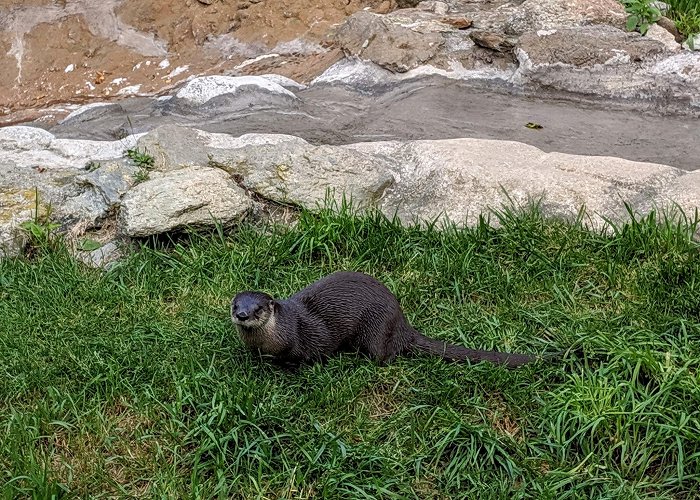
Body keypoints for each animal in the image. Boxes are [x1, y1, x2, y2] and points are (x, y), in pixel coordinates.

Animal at [230, 270, 548, 368]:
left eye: (258, 309)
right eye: (235, 305)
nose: (243, 315)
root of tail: (403, 324)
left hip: (377, 328)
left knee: (386, 355)